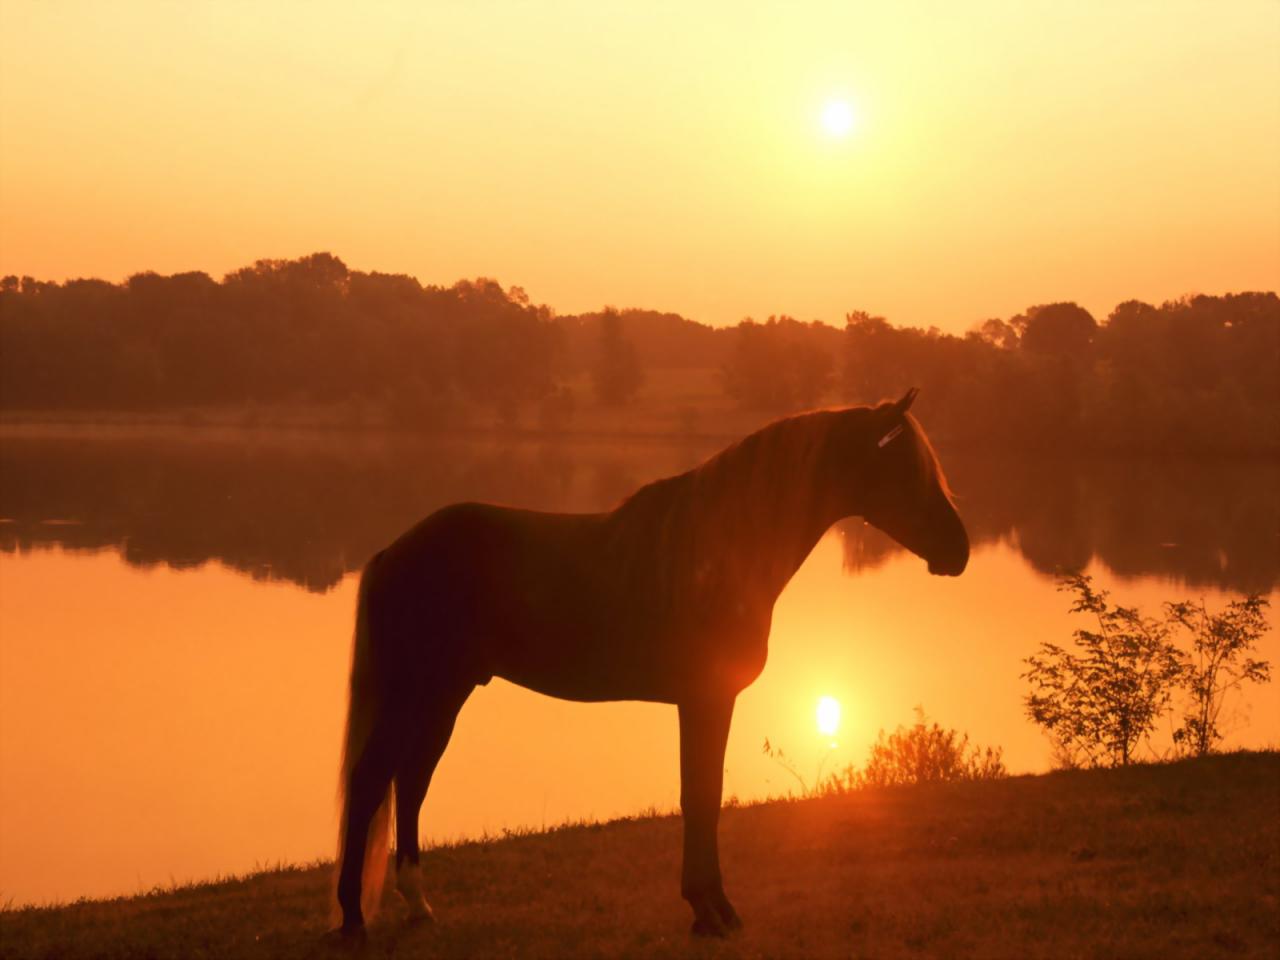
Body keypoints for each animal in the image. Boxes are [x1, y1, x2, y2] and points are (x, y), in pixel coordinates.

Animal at [332, 389, 967, 942]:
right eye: (904, 466)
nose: (958, 549)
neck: (721, 548)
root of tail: (394, 550)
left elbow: (702, 795)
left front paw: (708, 909)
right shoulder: (707, 698)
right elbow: (702, 795)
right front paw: (712, 912)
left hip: (444, 693)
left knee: (410, 782)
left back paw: (418, 905)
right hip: (413, 693)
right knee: (371, 781)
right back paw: (354, 918)